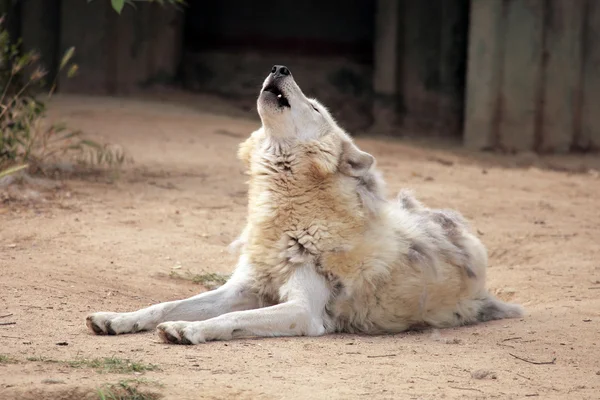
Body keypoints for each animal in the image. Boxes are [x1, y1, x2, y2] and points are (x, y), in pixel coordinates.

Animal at [86, 65, 524, 344]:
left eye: (314, 107)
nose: (280, 66)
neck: (288, 220)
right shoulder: (242, 287)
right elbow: (166, 304)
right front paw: (118, 319)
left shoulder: (302, 311)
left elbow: (231, 318)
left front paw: (189, 330)